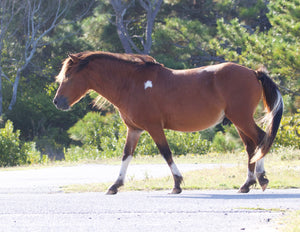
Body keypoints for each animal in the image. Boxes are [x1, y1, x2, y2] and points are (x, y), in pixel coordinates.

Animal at [52, 50, 282, 194]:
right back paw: (247, 184)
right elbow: (126, 155)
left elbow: (166, 153)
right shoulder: (134, 129)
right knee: (251, 147)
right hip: (238, 121)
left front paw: (177, 184)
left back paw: (261, 178)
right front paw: (115, 185)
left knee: (261, 139)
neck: (132, 84)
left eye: (69, 75)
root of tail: (254, 73)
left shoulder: (154, 127)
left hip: (241, 118)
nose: (57, 102)